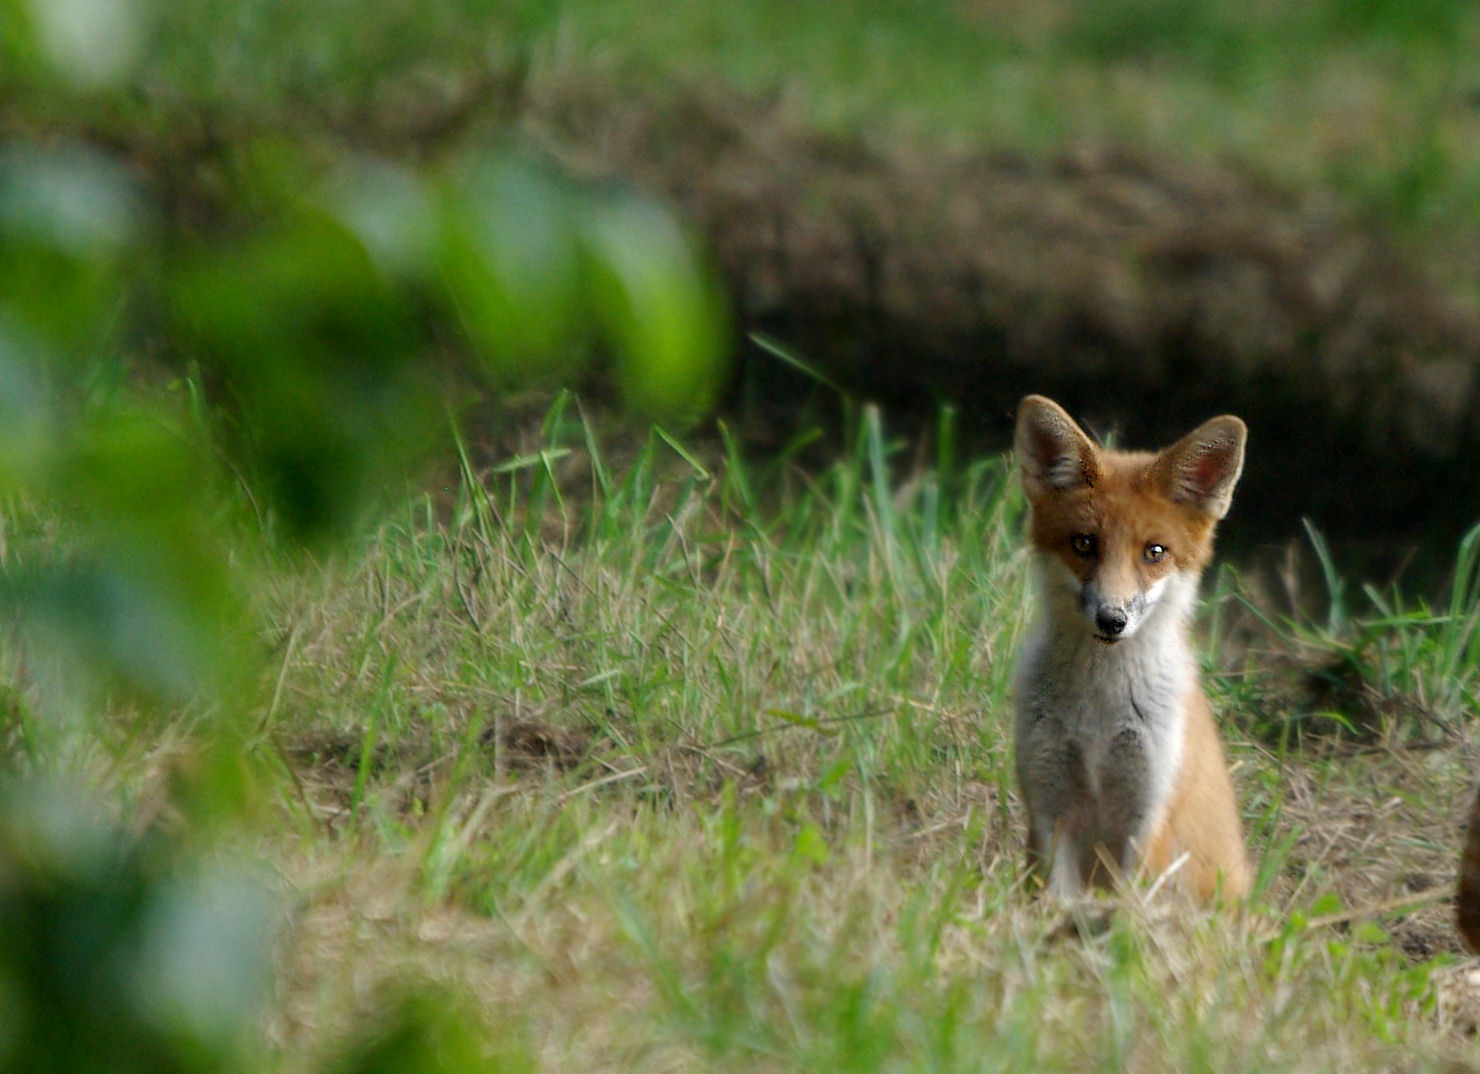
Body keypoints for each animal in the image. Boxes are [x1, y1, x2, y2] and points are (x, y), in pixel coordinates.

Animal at [1012, 393, 1243, 899]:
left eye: (1154, 552)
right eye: (1084, 543)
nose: (1112, 619)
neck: (1098, 715)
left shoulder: (1149, 813)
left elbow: (1129, 913)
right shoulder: (1048, 802)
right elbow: (1055, 905)